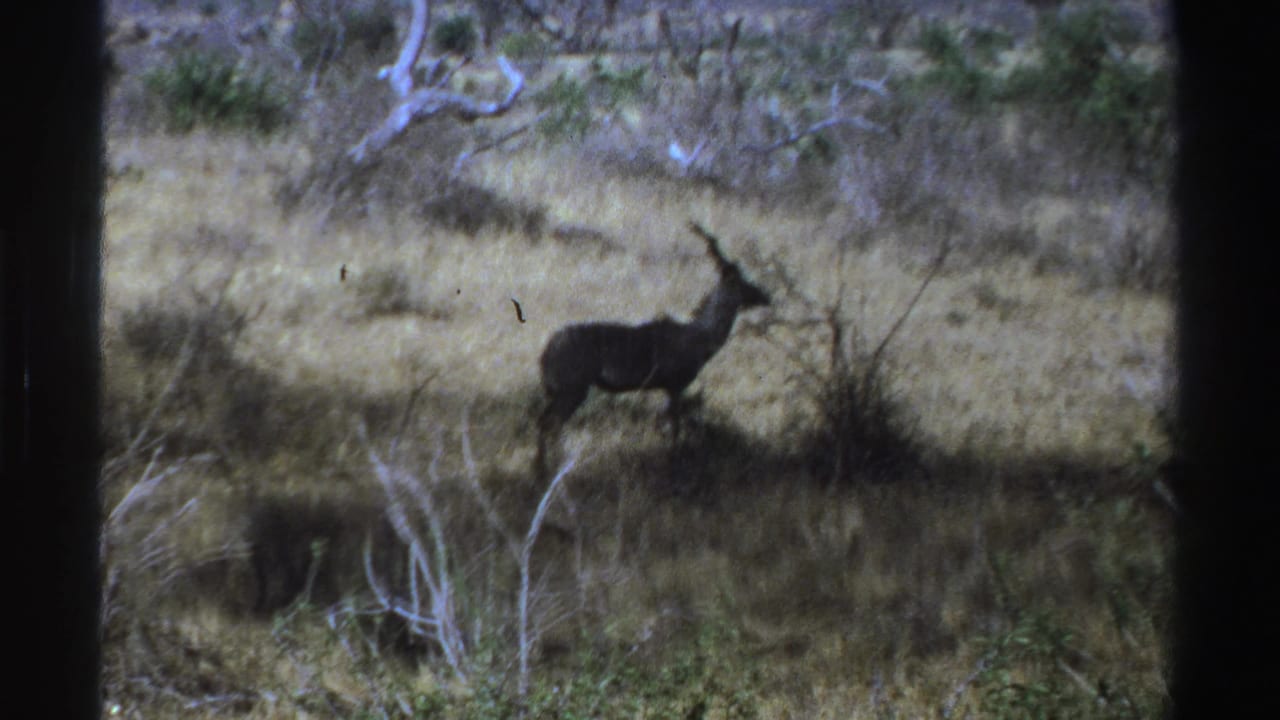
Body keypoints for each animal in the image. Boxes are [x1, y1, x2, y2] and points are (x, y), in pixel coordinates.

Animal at [535, 222, 771, 478]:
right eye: (742, 280)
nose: (766, 295)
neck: (700, 336)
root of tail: (546, 353)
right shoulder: (675, 385)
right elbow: (674, 426)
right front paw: (672, 462)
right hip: (573, 389)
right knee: (551, 423)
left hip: (559, 391)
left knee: (542, 421)